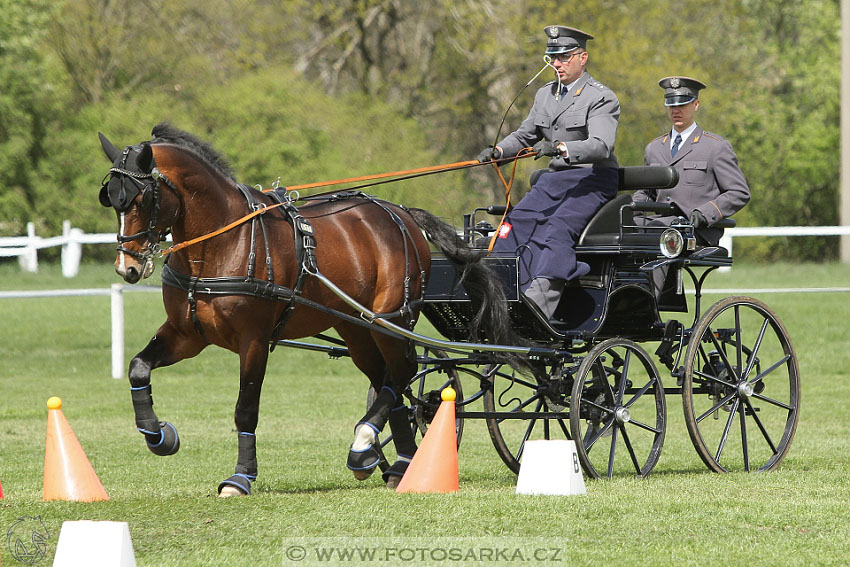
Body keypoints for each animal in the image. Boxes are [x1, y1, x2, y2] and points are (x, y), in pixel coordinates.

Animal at [97, 122, 512, 494]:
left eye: (142, 199)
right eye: (112, 199)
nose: (127, 267)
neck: (225, 242)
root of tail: (402, 213)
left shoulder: (254, 340)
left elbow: (246, 407)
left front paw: (240, 478)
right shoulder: (187, 335)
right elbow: (138, 367)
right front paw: (158, 435)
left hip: (391, 319)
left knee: (402, 373)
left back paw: (368, 447)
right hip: (356, 327)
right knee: (388, 380)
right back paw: (397, 463)